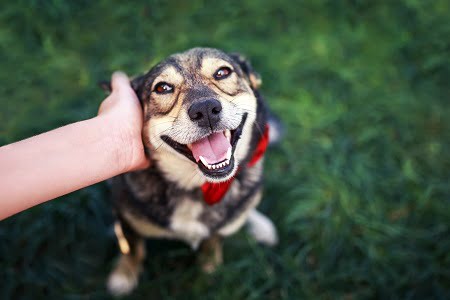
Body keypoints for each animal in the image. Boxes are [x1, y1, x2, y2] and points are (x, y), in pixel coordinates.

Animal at [101, 48, 282, 296]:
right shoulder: (126, 216)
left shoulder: (219, 227)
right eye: (162, 88)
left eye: (223, 72)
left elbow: (213, 241)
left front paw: (209, 268)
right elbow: (132, 247)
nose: (205, 109)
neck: (194, 186)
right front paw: (123, 276)